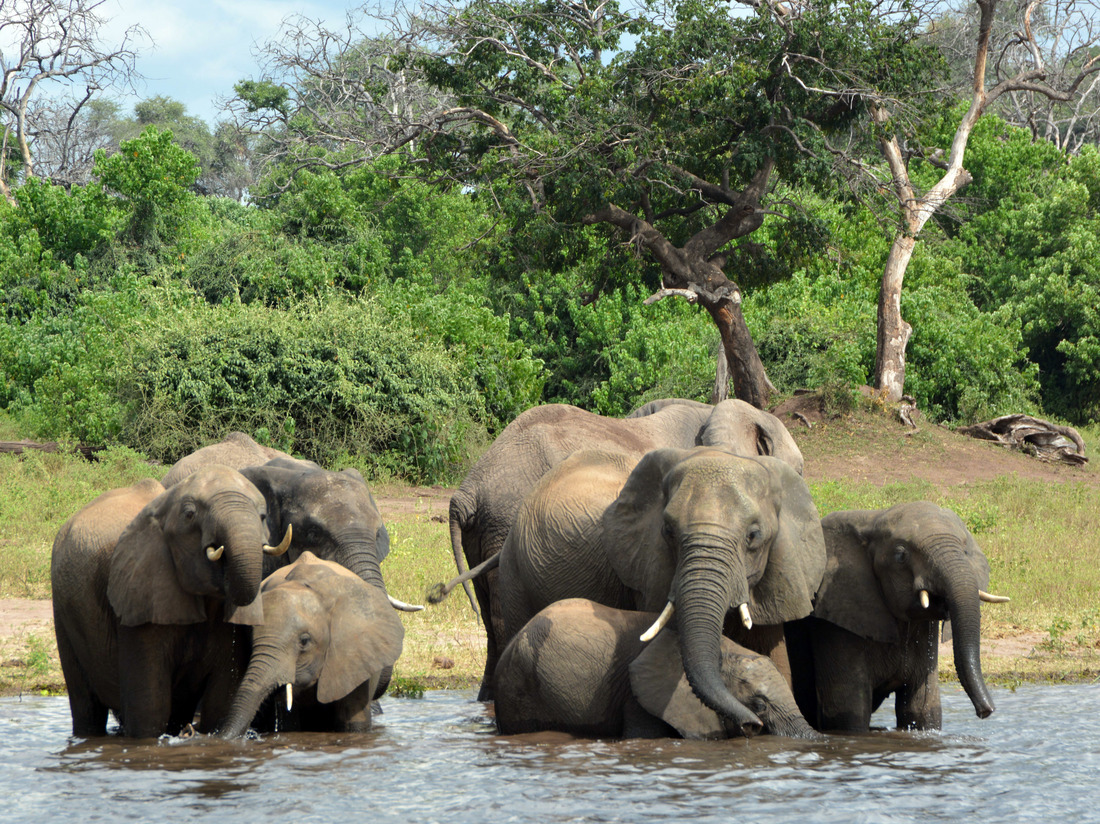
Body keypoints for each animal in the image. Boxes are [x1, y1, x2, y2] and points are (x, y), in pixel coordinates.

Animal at [50, 466, 292, 738]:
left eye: (262, 516)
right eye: (189, 515)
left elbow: (221, 701)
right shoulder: (140, 595)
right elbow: (149, 708)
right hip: (63, 610)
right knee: (86, 707)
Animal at [784, 501, 1009, 733]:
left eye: (965, 551)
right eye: (901, 556)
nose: (985, 712)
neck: (872, 520)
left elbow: (922, 709)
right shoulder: (835, 620)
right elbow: (848, 714)